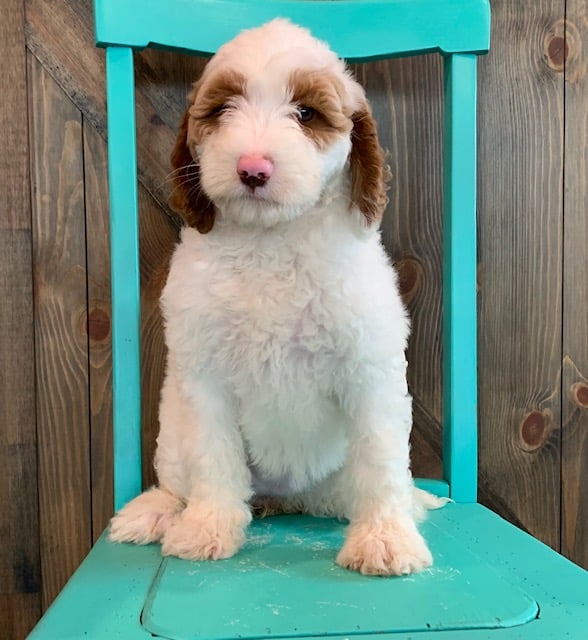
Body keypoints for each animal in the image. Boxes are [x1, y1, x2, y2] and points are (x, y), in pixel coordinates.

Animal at [110, 18, 444, 576]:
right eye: (224, 108)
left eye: (306, 113)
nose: (252, 169)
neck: (271, 240)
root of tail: (287, 500)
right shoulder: (203, 375)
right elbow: (214, 455)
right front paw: (208, 527)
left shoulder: (369, 366)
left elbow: (381, 458)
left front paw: (385, 537)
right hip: (172, 427)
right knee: (178, 479)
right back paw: (156, 511)